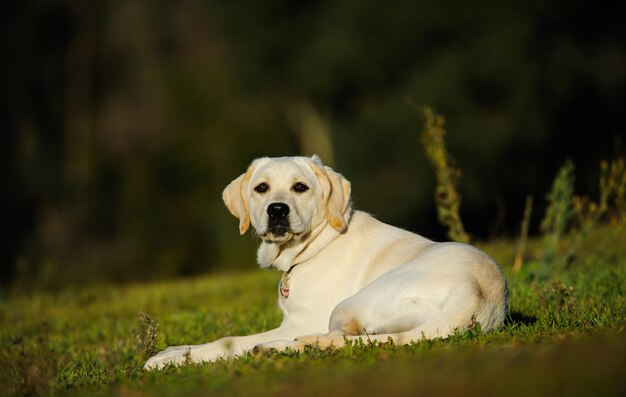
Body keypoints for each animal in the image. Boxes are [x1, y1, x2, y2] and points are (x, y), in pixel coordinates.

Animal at [144, 154, 504, 368]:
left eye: (300, 187)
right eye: (261, 188)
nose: (277, 210)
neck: (313, 247)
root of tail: (479, 296)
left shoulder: (301, 321)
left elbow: (228, 341)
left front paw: (168, 361)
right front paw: (171, 351)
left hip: (350, 304)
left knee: (341, 339)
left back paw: (277, 347)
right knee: (348, 341)